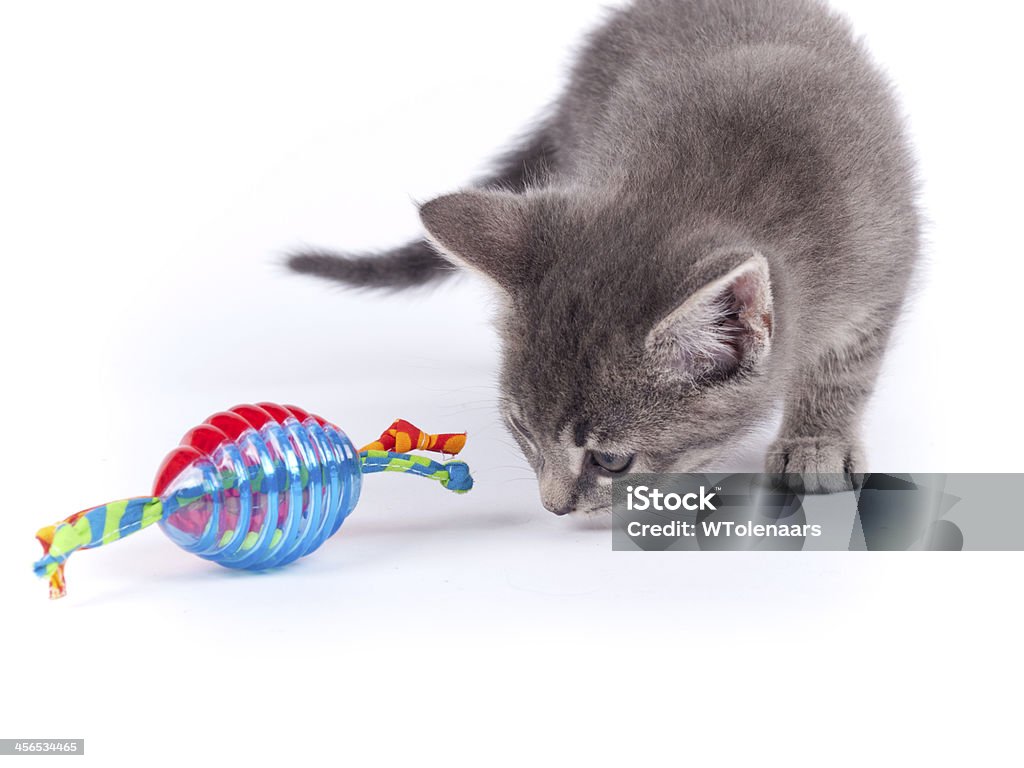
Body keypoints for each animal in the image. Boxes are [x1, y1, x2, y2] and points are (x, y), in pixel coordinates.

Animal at [288, 1, 921, 518]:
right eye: (521, 429)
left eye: (612, 461)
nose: (553, 508)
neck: (706, 186)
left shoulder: (885, 258)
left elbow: (846, 365)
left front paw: (816, 442)